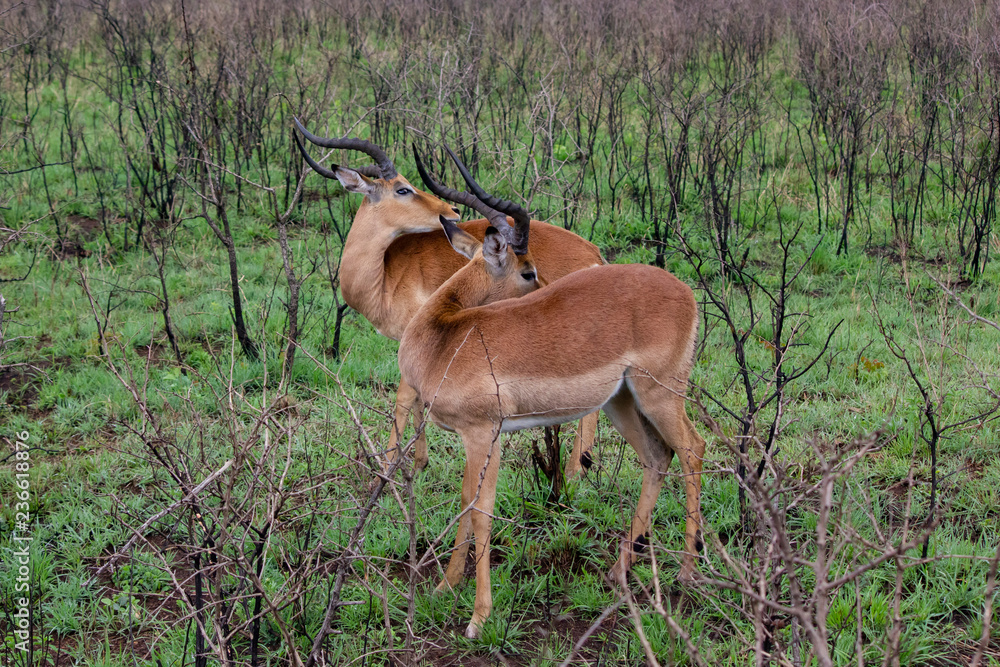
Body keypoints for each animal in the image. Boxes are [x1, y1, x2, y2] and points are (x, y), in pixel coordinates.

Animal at [294, 120, 603, 477]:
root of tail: (595, 254)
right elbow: (418, 400)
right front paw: (418, 463)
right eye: (403, 189)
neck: (385, 273)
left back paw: (575, 470)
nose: (451, 210)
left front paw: (389, 466)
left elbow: (403, 399)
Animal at [398, 155, 706, 639]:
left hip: (661, 393)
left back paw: (688, 571)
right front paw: (445, 587)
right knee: (659, 457)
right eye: (526, 270)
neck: (446, 340)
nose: (545, 289)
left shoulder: (483, 433)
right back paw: (620, 571)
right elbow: (466, 504)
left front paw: (478, 618)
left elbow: (480, 510)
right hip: (622, 402)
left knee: (693, 449)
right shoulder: (477, 438)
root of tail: (686, 292)